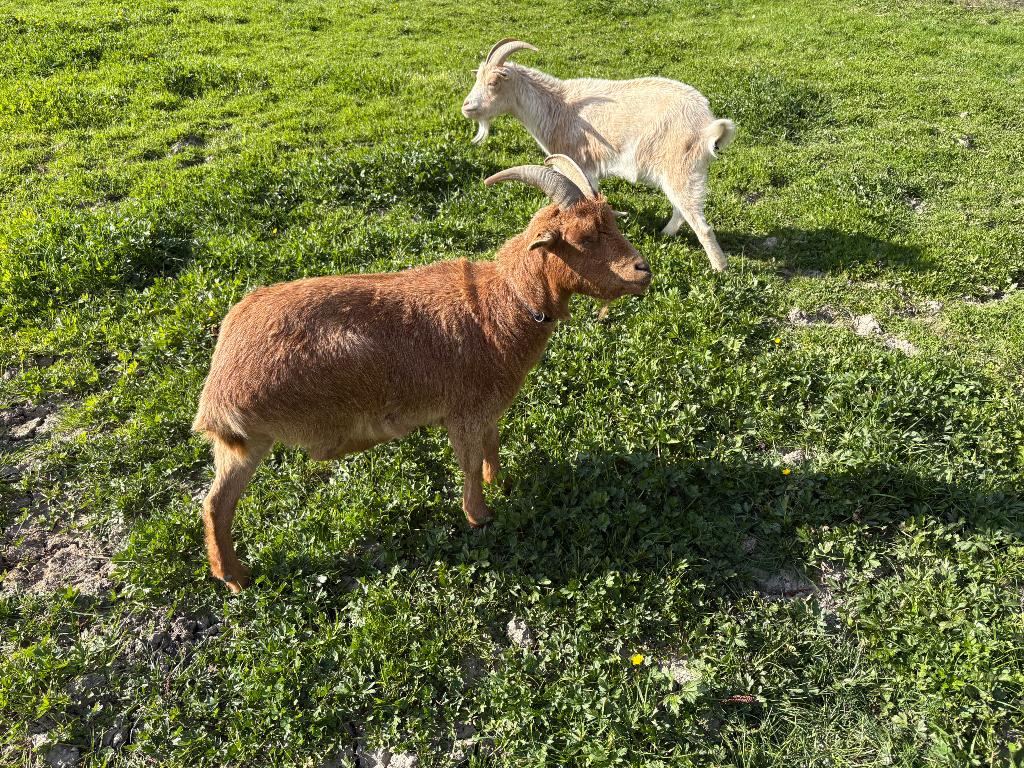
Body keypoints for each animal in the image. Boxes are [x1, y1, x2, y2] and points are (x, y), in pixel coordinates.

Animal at [192, 155, 651, 592]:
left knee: (213, 502)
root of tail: (218, 386)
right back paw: (235, 578)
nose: (642, 271)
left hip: (238, 445)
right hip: (253, 439)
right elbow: (469, 463)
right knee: (217, 505)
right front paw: (480, 516)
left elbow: (491, 445)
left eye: (611, 222)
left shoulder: (485, 409)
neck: (499, 304)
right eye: (583, 238)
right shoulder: (462, 411)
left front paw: (500, 482)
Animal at [462, 38, 736, 272]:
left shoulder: (578, 161)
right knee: (681, 208)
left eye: (494, 82)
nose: (467, 107)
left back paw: (719, 268)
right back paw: (665, 233)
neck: (556, 106)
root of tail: (707, 127)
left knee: (699, 223)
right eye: (477, 78)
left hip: (681, 168)